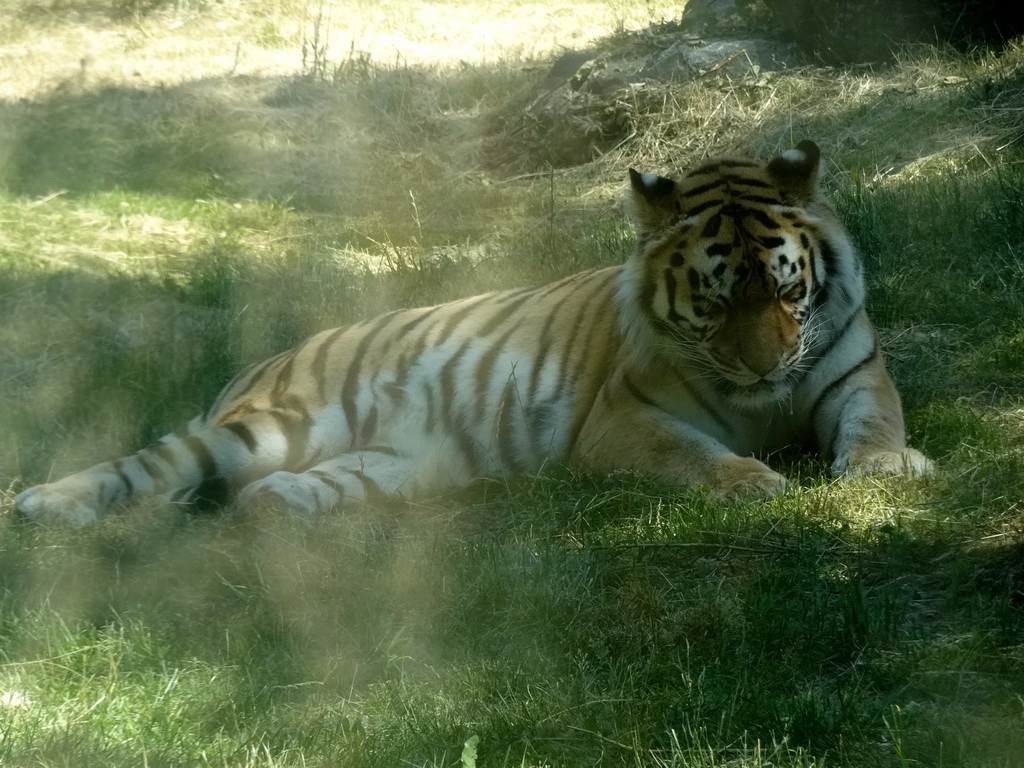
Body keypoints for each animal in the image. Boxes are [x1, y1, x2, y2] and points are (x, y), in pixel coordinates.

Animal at [14, 140, 929, 528]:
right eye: (713, 300)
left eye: (787, 289)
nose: (768, 368)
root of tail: (259, 363)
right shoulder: (623, 418)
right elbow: (695, 454)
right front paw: (751, 483)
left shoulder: (856, 374)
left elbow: (874, 422)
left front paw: (888, 468)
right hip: (266, 426)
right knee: (145, 465)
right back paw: (45, 505)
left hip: (385, 466)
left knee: (264, 491)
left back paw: (279, 511)